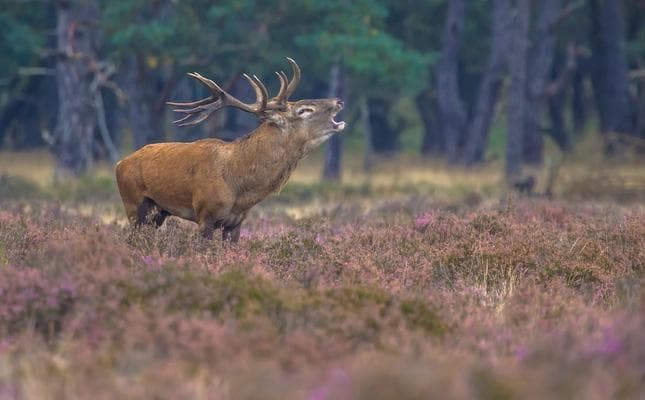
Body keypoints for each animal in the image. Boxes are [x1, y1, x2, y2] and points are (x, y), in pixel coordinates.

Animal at [115, 58, 345, 242]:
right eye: (304, 110)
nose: (339, 101)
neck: (239, 187)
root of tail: (119, 163)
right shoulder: (205, 214)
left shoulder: (236, 222)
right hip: (133, 204)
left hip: (159, 211)